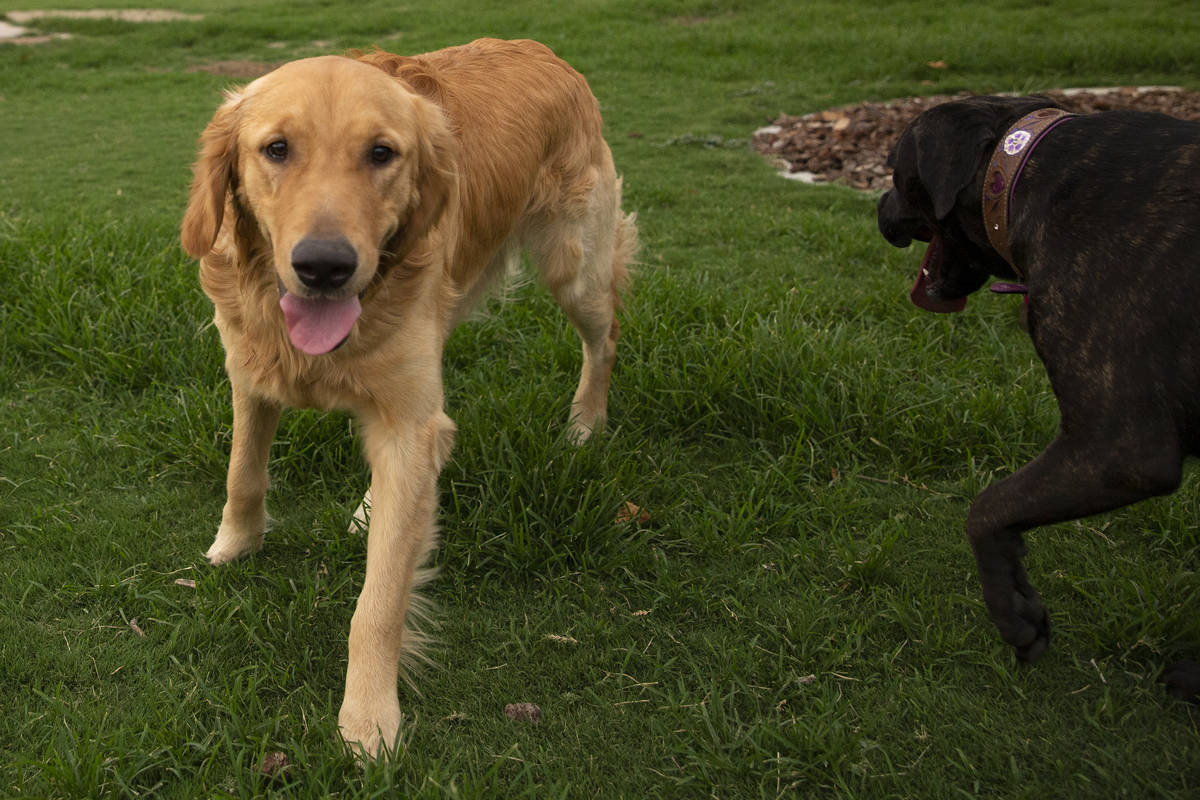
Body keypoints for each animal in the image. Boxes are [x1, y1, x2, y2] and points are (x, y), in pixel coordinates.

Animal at [180, 37, 638, 762]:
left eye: (381, 153)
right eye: (276, 148)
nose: (324, 266)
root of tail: (542, 47)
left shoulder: (405, 420)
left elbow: (379, 601)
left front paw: (368, 721)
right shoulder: (249, 368)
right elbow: (243, 472)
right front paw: (234, 544)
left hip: (575, 267)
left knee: (606, 339)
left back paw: (585, 426)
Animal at [878, 94, 1195, 695]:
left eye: (892, 169)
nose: (880, 205)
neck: (1024, 172)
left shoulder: (1117, 449)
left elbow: (987, 509)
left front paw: (1016, 616)